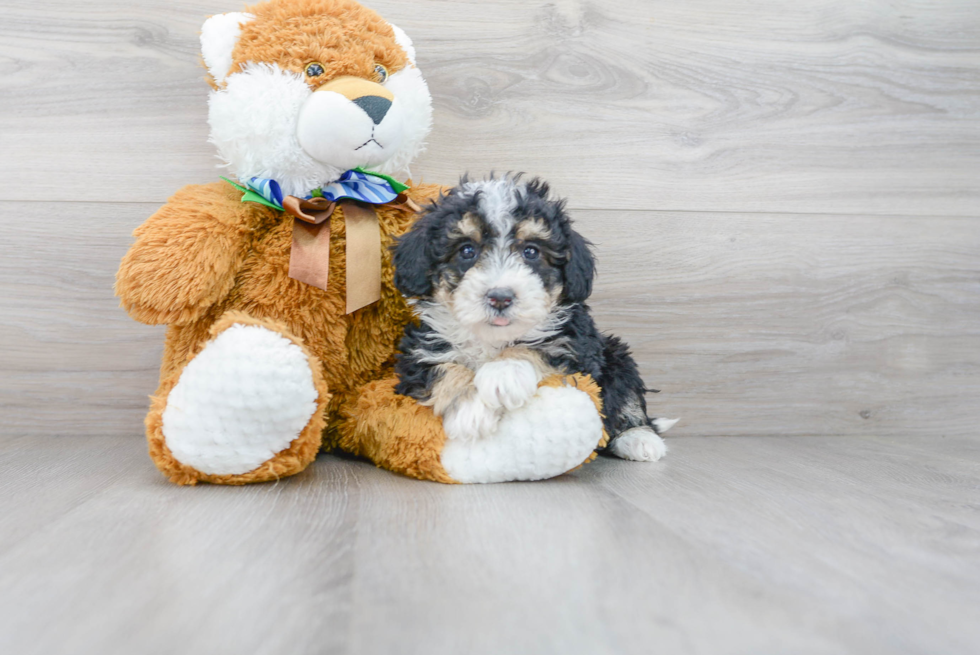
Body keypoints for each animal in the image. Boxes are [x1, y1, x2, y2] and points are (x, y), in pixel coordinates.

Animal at [390, 174, 672, 462]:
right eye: (467, 250)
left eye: (531, 252)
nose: (500, 297)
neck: (492, 339)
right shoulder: (418, 354)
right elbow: (442, 369)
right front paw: (471, 409)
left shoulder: (576, 348)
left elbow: (537, 348)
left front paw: (504, 373)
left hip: (616, 356)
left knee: (627, 395)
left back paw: (639, 439)